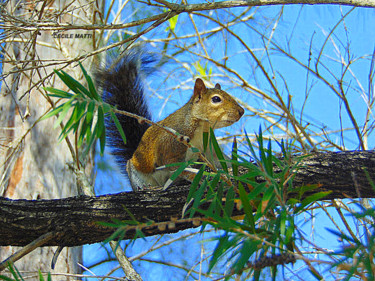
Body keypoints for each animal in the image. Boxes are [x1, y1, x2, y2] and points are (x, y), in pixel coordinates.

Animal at [97, 50, 245, 190]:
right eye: (216, 99)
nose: (241, 111)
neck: (201, 128)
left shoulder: (208, 148)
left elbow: (222, 161)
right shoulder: (171, 142)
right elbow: (175, 165)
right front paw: (197, 176)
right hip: (135, 170)